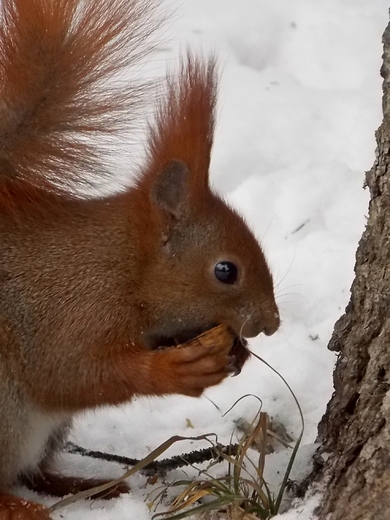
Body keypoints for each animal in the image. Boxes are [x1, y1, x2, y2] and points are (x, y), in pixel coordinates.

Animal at [0, 0, 278, 516]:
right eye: (225, 270)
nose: (270, 323)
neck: (125, 265)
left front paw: (237, 353)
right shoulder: (67, 308)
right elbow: (70, 374)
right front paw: (176, 370)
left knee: (34, 470)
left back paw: (82, 485)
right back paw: (17, 504)